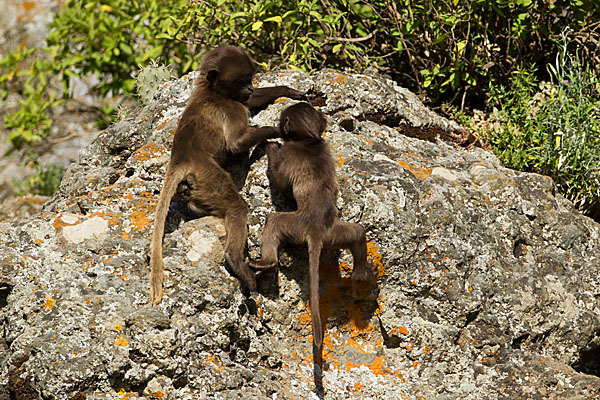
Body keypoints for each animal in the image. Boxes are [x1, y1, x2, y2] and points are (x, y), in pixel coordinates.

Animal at [149, 46, 308, 304]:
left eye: (250, 80)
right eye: (243, 80)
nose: (251, 87)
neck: (212, 91)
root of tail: (182, 158)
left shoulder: (238, 99)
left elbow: (251, 102)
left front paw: (290, 91)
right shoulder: (230, 108)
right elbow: (236, 143)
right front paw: (278, 129)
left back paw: (196, 208)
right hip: (209, 174)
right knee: (236, 207)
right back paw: (236, 261)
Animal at [251, 103, 378, 372]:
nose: (278, 128)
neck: (309, 139)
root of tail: (316, 232)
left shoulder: (289, 154)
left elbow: (279, 179)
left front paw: (271, 147)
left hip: (295, 225)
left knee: (273, 220)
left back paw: (265, 262)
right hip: (335, 234)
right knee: (358, 233)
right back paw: (361, 275)